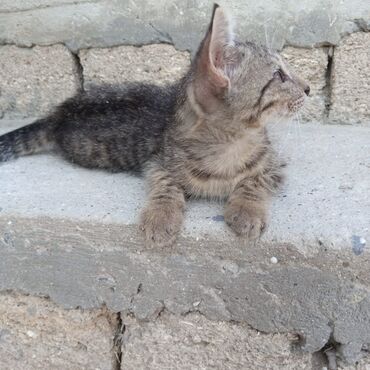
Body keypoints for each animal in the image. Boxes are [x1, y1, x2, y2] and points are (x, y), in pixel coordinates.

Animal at [0, 4, 310, 247]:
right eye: (279, 75)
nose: (308, 88)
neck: (228, 146)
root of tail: (60, 112)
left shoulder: (276, 165)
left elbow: (254, 180)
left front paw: (246, 211)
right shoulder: (156, 162)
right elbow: (165, 184)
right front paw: (161, 217)